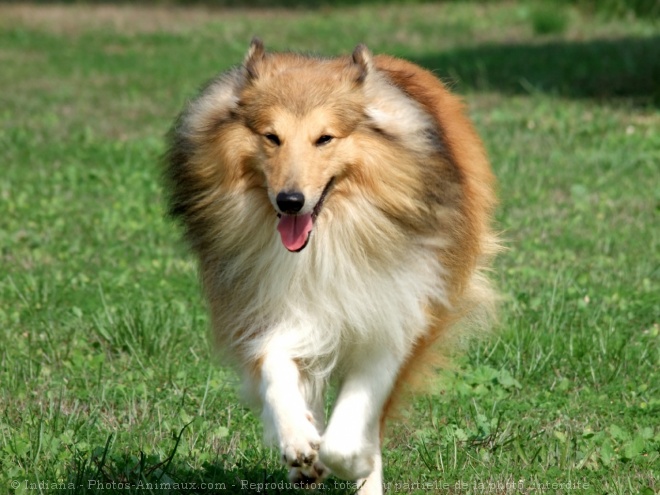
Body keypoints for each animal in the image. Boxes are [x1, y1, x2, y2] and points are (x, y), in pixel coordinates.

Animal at [164, 39, 496, 495]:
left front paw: (352, 463)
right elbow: (275, 368)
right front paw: (299, 441)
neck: (327, 241)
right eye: (271, 137)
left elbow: (353, 426)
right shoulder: (265, 308)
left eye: (325, 138)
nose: (290, 201)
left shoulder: (393, 316)